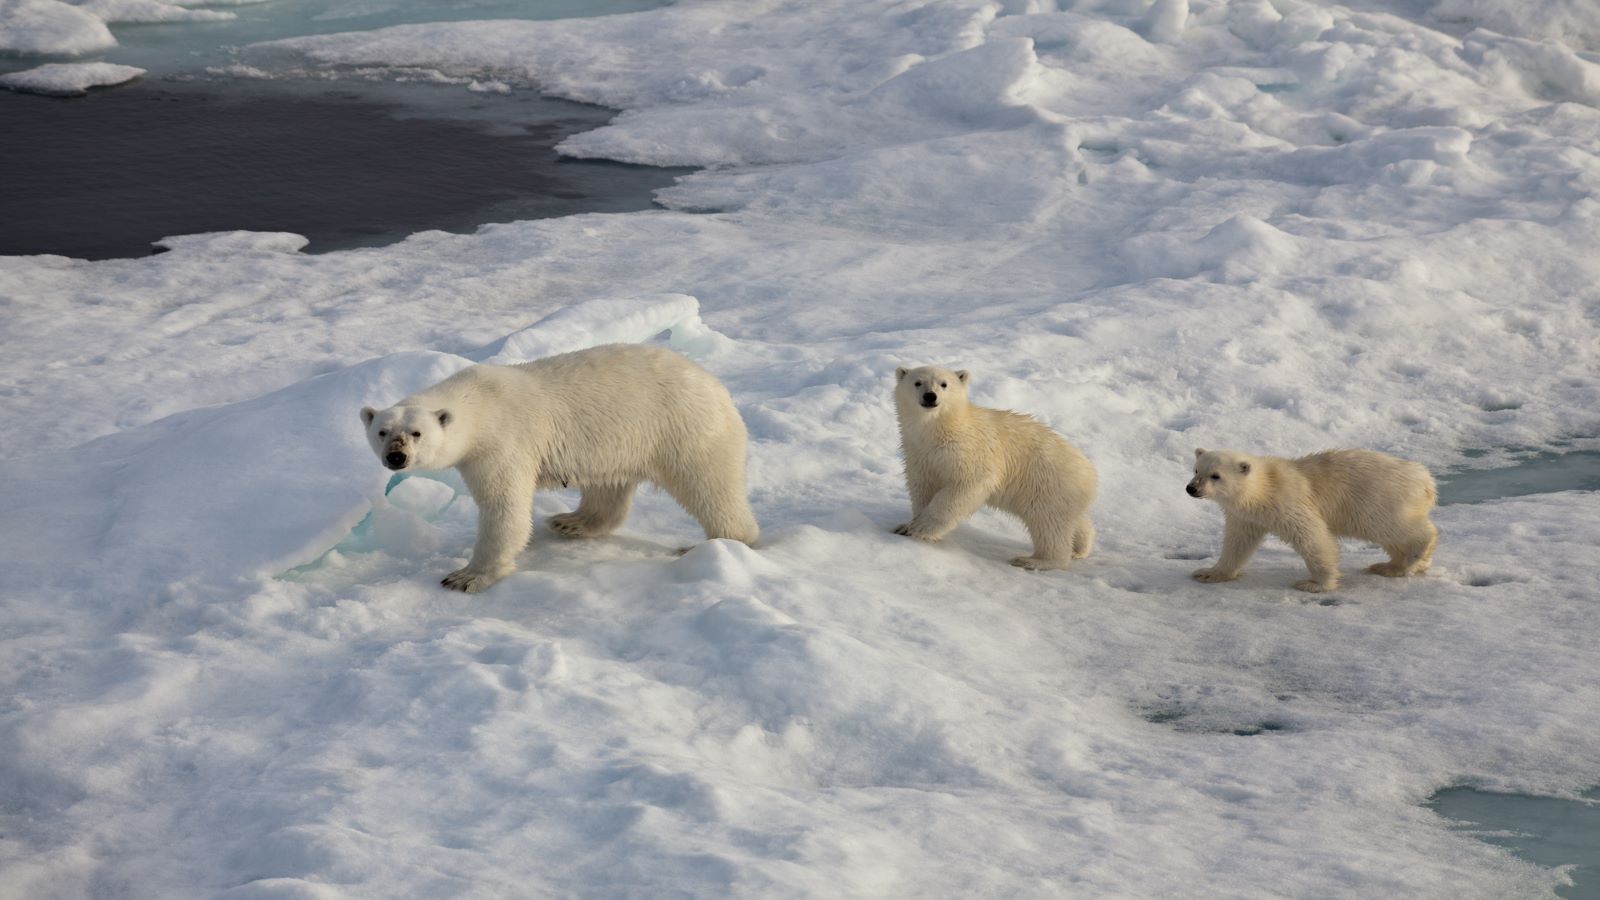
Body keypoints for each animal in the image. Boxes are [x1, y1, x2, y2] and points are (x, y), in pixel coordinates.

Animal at [364, 341, 761, 589]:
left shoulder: (502, 444)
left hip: (685, 429)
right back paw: (571, 521)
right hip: (616, 443)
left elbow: (503, 507)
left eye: (416, 433)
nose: (396, 456)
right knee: (608, 489)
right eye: (382, 431)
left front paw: (467, 576)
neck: (480, 404)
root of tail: (718, 387)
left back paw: (714, 544)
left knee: (708, 485)